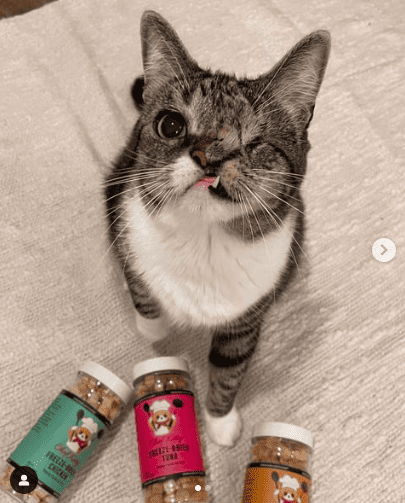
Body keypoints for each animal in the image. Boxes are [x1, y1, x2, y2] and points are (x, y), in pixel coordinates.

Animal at [105, 9, 330, 446]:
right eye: (171, 125)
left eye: (254, 142)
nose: (209, 157)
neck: (201, 238)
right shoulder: (122, 208)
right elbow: (142, 289)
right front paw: (152, 326)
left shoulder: (245, 321)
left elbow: (229, 370)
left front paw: (220, 420)